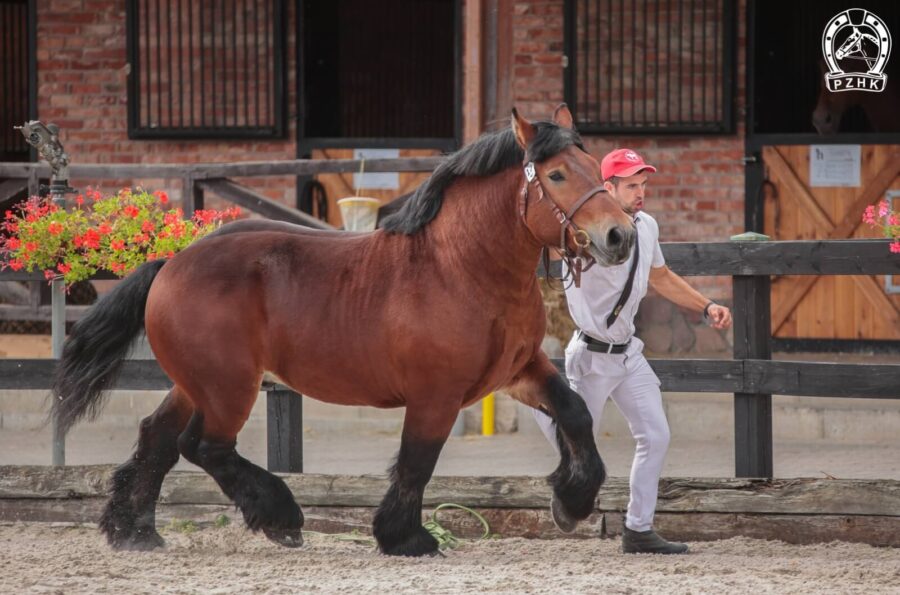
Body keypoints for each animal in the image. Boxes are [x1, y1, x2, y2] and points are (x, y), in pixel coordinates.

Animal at [51, 105, 632, 556]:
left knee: (158, 438)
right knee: (204, 446)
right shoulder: (436, 394)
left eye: (590, 165)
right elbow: (417, 462)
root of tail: (171, 263)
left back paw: (135, 532)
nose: (618, 235)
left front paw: (572, 500)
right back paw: (280, 517)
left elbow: (575, 413)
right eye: (556, 176)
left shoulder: (517, 370)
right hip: (229, 386)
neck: (459, 267)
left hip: (198, 383)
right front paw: (405, 538)